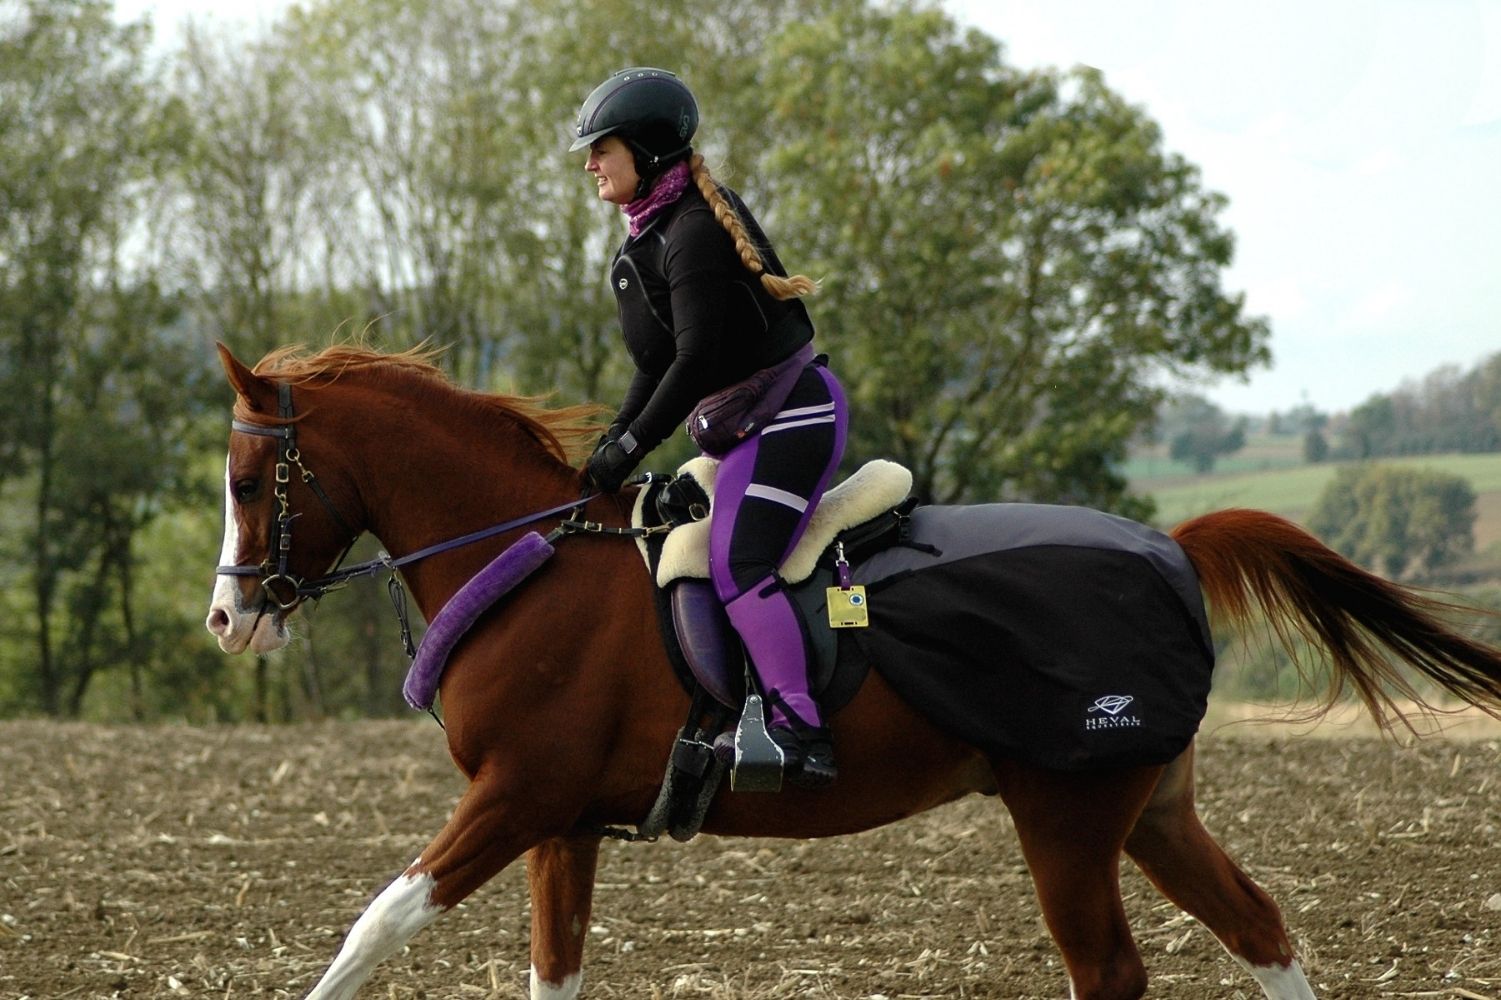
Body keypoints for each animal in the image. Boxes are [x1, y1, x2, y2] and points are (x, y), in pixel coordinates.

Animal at [208, 342, 1501, 996]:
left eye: (245, 479)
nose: (228, 618)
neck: (529, 559)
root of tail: (1166, 546)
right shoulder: (560, 827)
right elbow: (548, 973)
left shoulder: (514, 798)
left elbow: (373, 926)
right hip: (1149, 808)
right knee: (1261, 930)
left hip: (1068, 817)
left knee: (1112, 971)